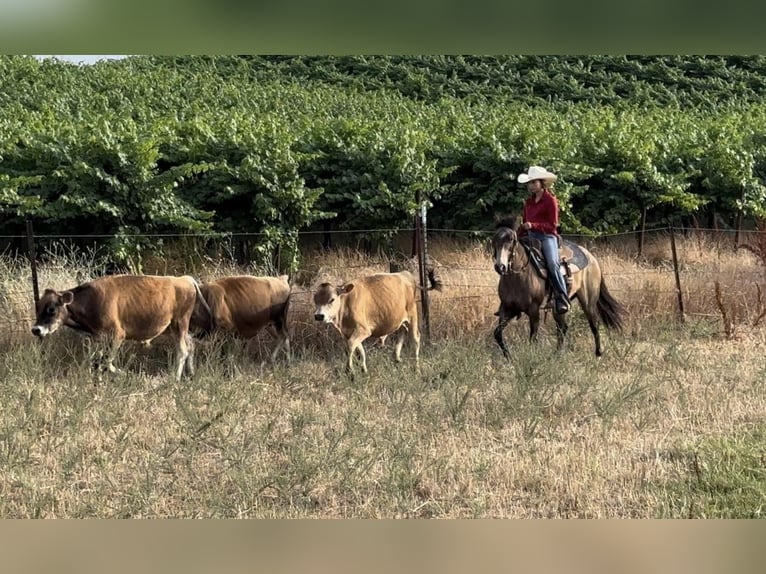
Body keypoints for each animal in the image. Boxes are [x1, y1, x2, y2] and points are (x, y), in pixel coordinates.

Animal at [30, 276, 207, 382]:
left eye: (52, 309)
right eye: (37, 307)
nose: (36, 330)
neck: (90, 301)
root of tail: (185, 279)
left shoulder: (117, 335)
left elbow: (106, 361)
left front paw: (125, 374)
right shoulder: (97, 338)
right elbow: (94, 360)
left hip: (180, 324)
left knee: (183, 349)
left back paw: (174, 378)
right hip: (174, 328)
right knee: (191, 345)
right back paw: (191, 373)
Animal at [496, 218, 628, 358]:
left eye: (511, 239)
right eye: (494, 239)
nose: (500, 267)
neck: (519, 275)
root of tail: (592, 258)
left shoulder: (533, 310)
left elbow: (533, 338)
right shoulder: (508, 309)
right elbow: (497, 334)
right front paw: (509, 357)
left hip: (588, 302)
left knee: (594, 325)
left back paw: (598, 353)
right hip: (559, 307)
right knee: (563, 327)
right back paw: (556, 355)